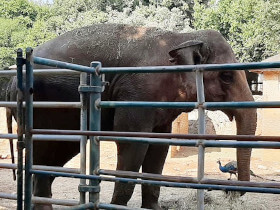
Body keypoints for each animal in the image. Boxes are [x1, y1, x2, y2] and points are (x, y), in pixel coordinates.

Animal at [6, 23, 256, 209]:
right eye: (226, 76)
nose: (232, 191)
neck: (181, 37)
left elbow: (159, 147)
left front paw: (153, 208)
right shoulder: (135, 94)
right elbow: (132, 143)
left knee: (55, 154)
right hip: (41, 106)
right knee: (44, 150)